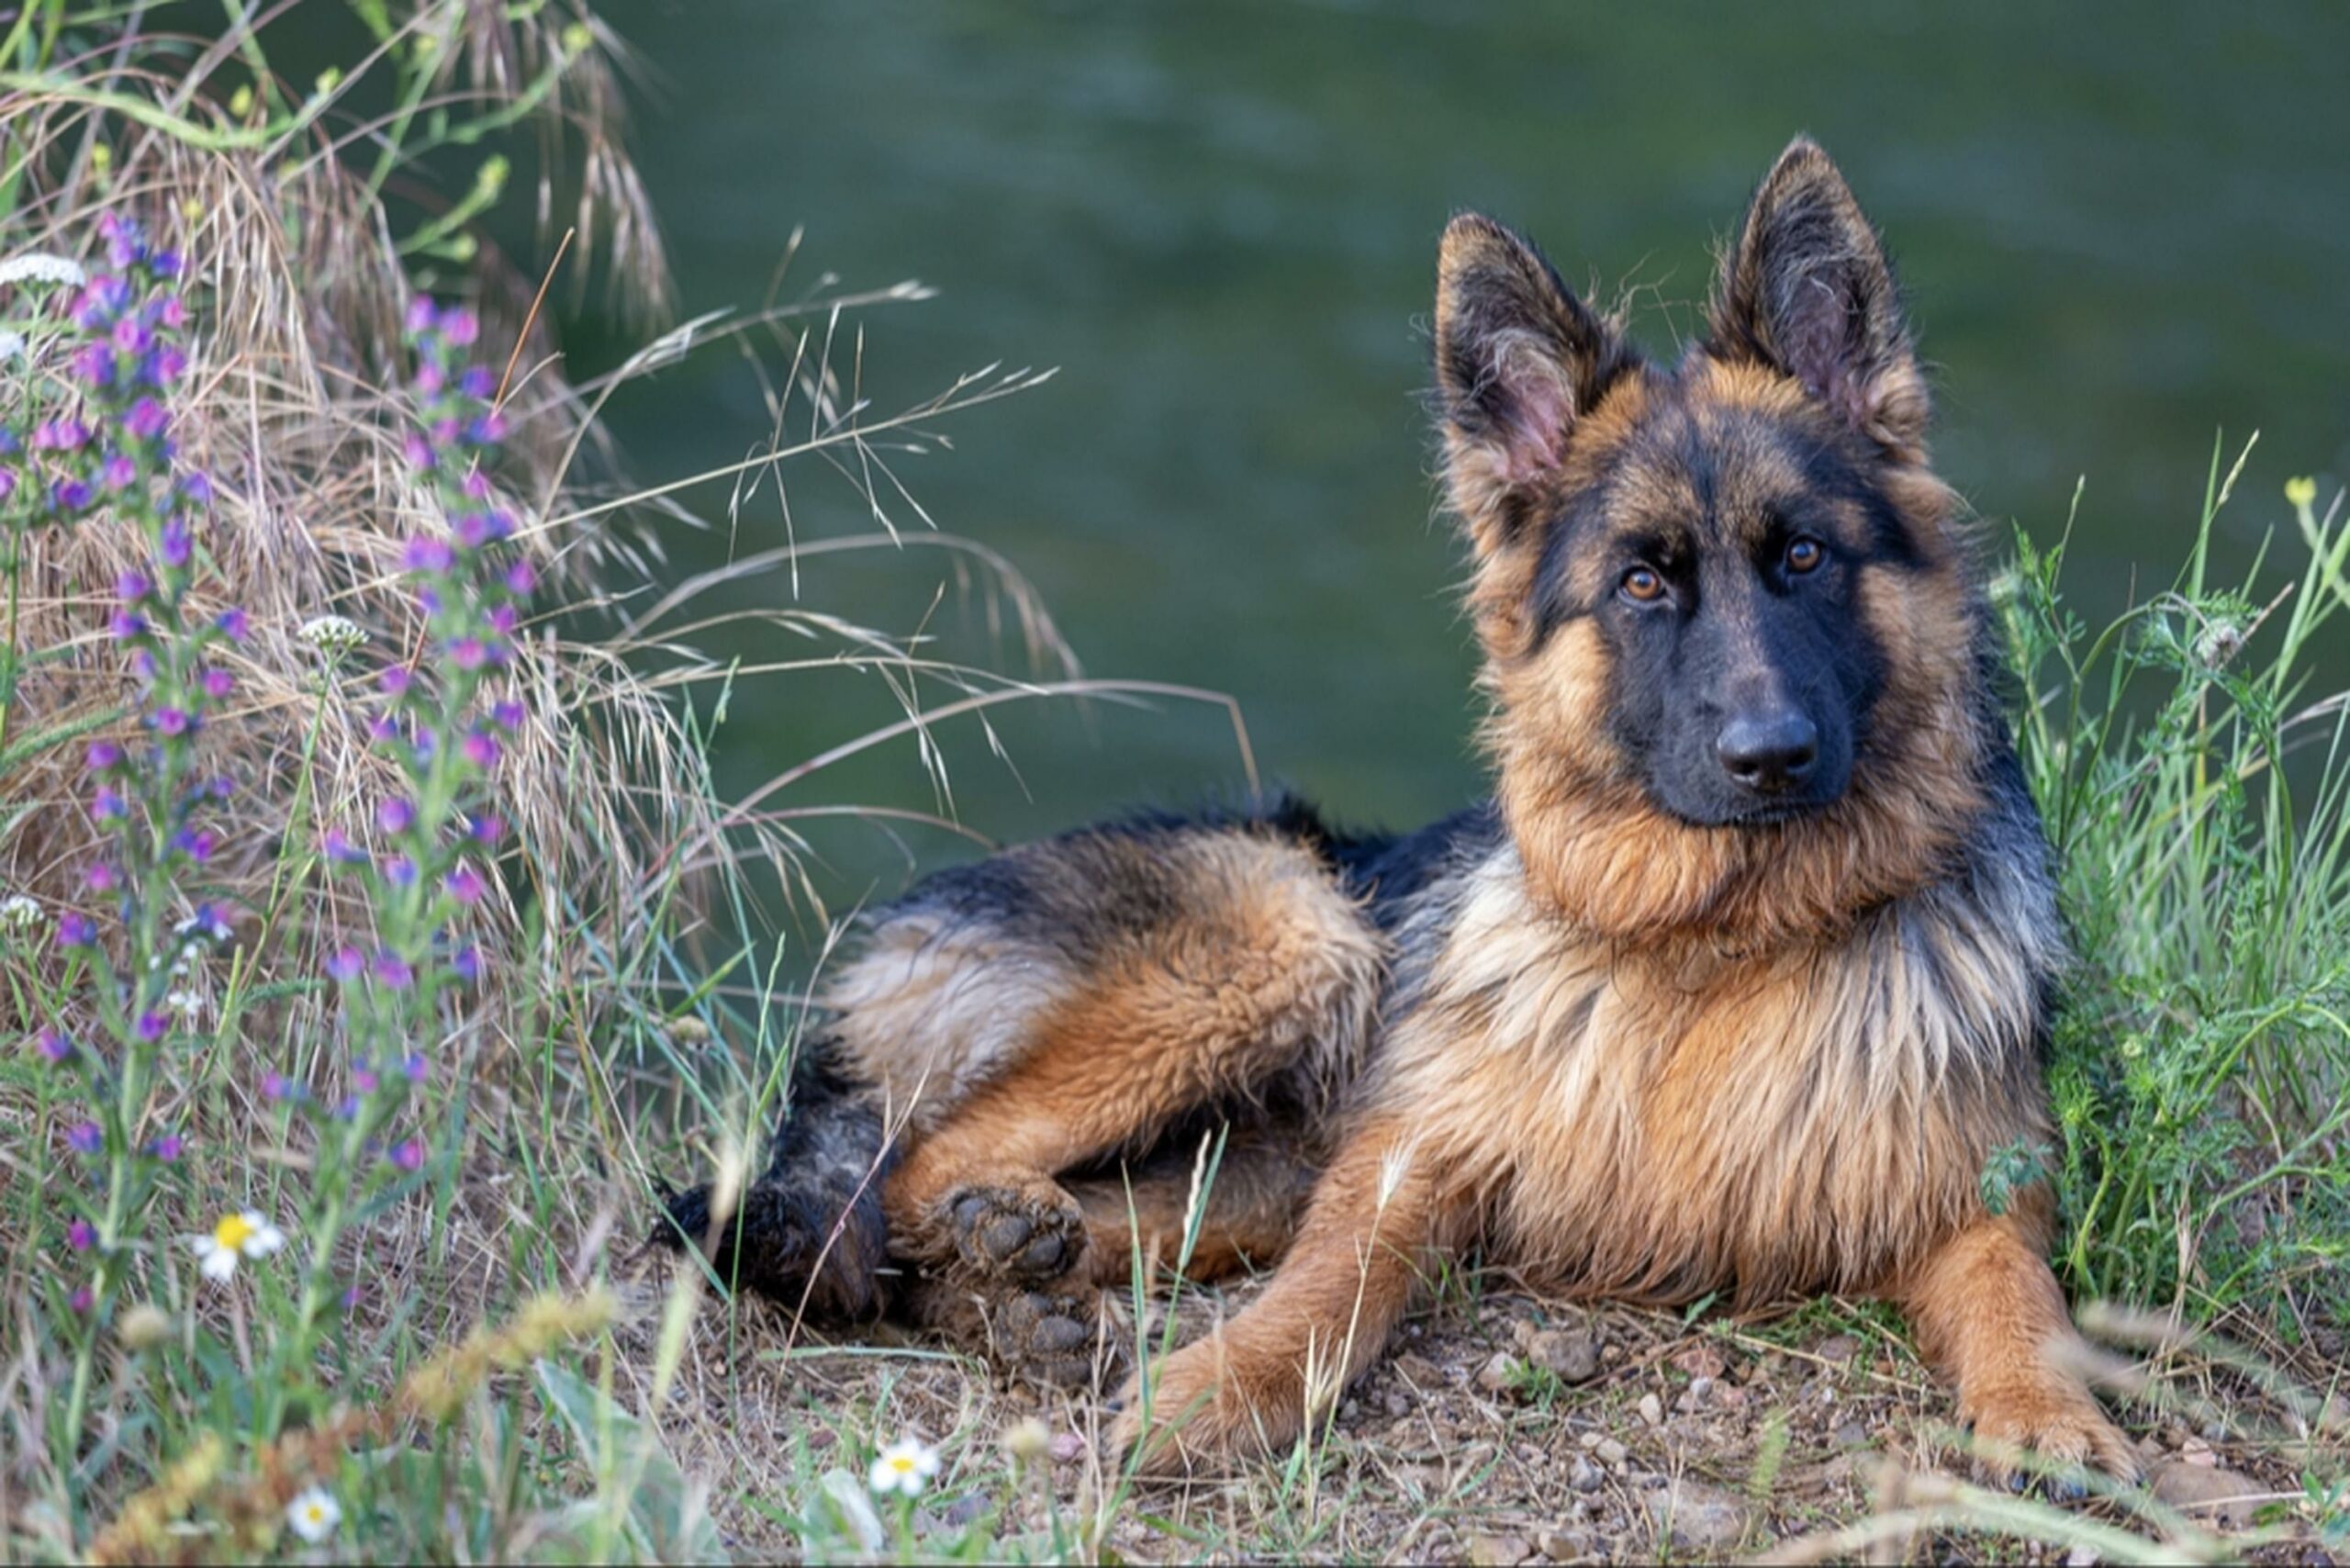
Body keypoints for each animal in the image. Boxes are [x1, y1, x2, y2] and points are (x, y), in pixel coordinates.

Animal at [653, 135, 2143, 1485]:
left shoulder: (1978, 1190)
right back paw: (1005, 1247)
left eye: (1806, 558)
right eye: (1642, 584)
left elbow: (2022, 1295)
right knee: (913, 1164)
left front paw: (2049, 1415)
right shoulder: (1409, 1149)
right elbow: (1336, 1279)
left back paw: (1015, 1284)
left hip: (1244, 1148)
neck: (1717, 951)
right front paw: (1222, 1385)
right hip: (1292, 934)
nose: (1769, 756)